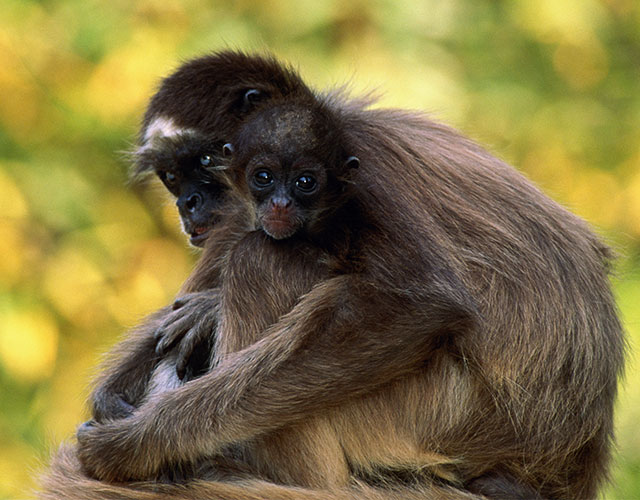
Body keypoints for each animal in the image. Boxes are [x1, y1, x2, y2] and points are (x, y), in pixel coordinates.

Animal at [38, 51, 620, 500]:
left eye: (205, 160)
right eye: (172, 177)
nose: (189, 205)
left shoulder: (365, 169)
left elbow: (423, 307)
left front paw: (135, 443)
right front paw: (116, 395)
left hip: (439, 414)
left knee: (261, 258)